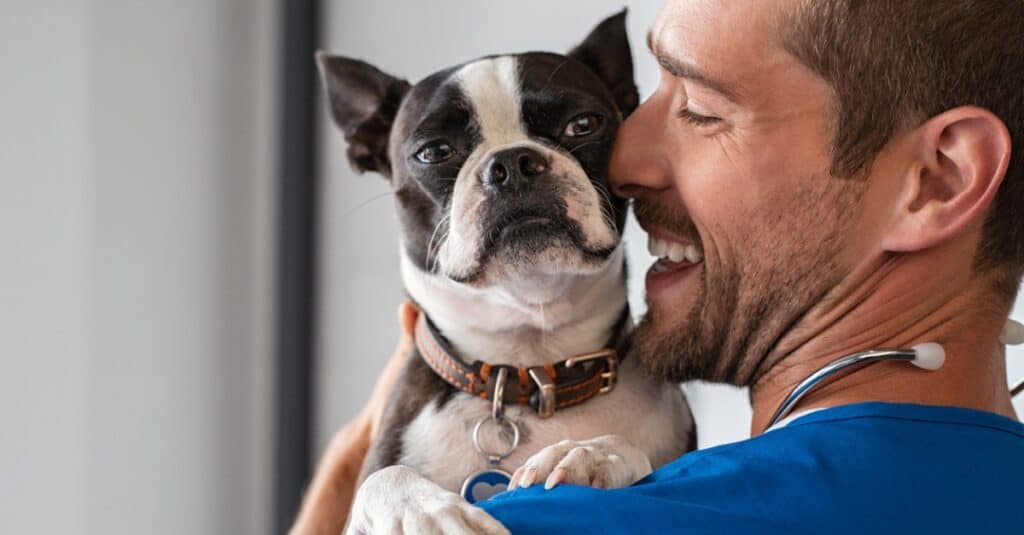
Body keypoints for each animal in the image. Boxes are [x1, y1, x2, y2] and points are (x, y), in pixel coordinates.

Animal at [317, 12, 696, 532]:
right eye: (433, 152)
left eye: (583, 124)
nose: (513, 163)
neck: (526, 366)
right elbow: (384, 477)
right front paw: (427, 514)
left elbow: (630, 450)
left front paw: (589, 454)